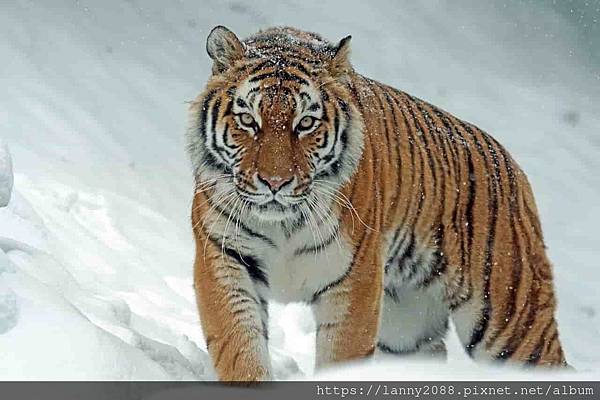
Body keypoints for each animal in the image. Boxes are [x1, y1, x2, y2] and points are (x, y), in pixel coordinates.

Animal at [186, 25, 568, 382]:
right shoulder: (224, 259)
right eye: (248, 120)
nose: (275, 183)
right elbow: (240, 349)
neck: (284, 224)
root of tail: (513, 167)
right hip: (406, 329)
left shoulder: (354, 282)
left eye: (306, 123)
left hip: (511, 322)